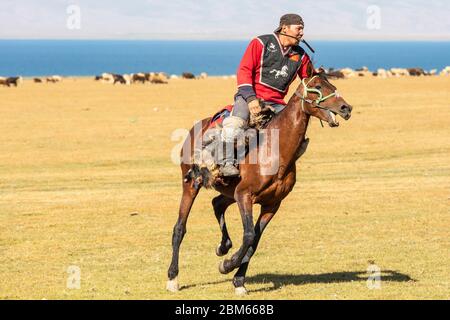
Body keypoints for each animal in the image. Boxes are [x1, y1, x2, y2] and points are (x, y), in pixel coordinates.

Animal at [167, 67, 354, 296]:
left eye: (332, 85)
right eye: (318, 86)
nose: (346, 108)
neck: (274, 151)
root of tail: (196, 128)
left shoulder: (271, 204)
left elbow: (254, 242)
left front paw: (238, 280)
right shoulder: (244, 196)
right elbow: (248, 236)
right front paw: (227, 266)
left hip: (228, 192)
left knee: (217, 203)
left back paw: (223, 246)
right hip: (191, 185)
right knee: (179, 228)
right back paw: (173, 278)